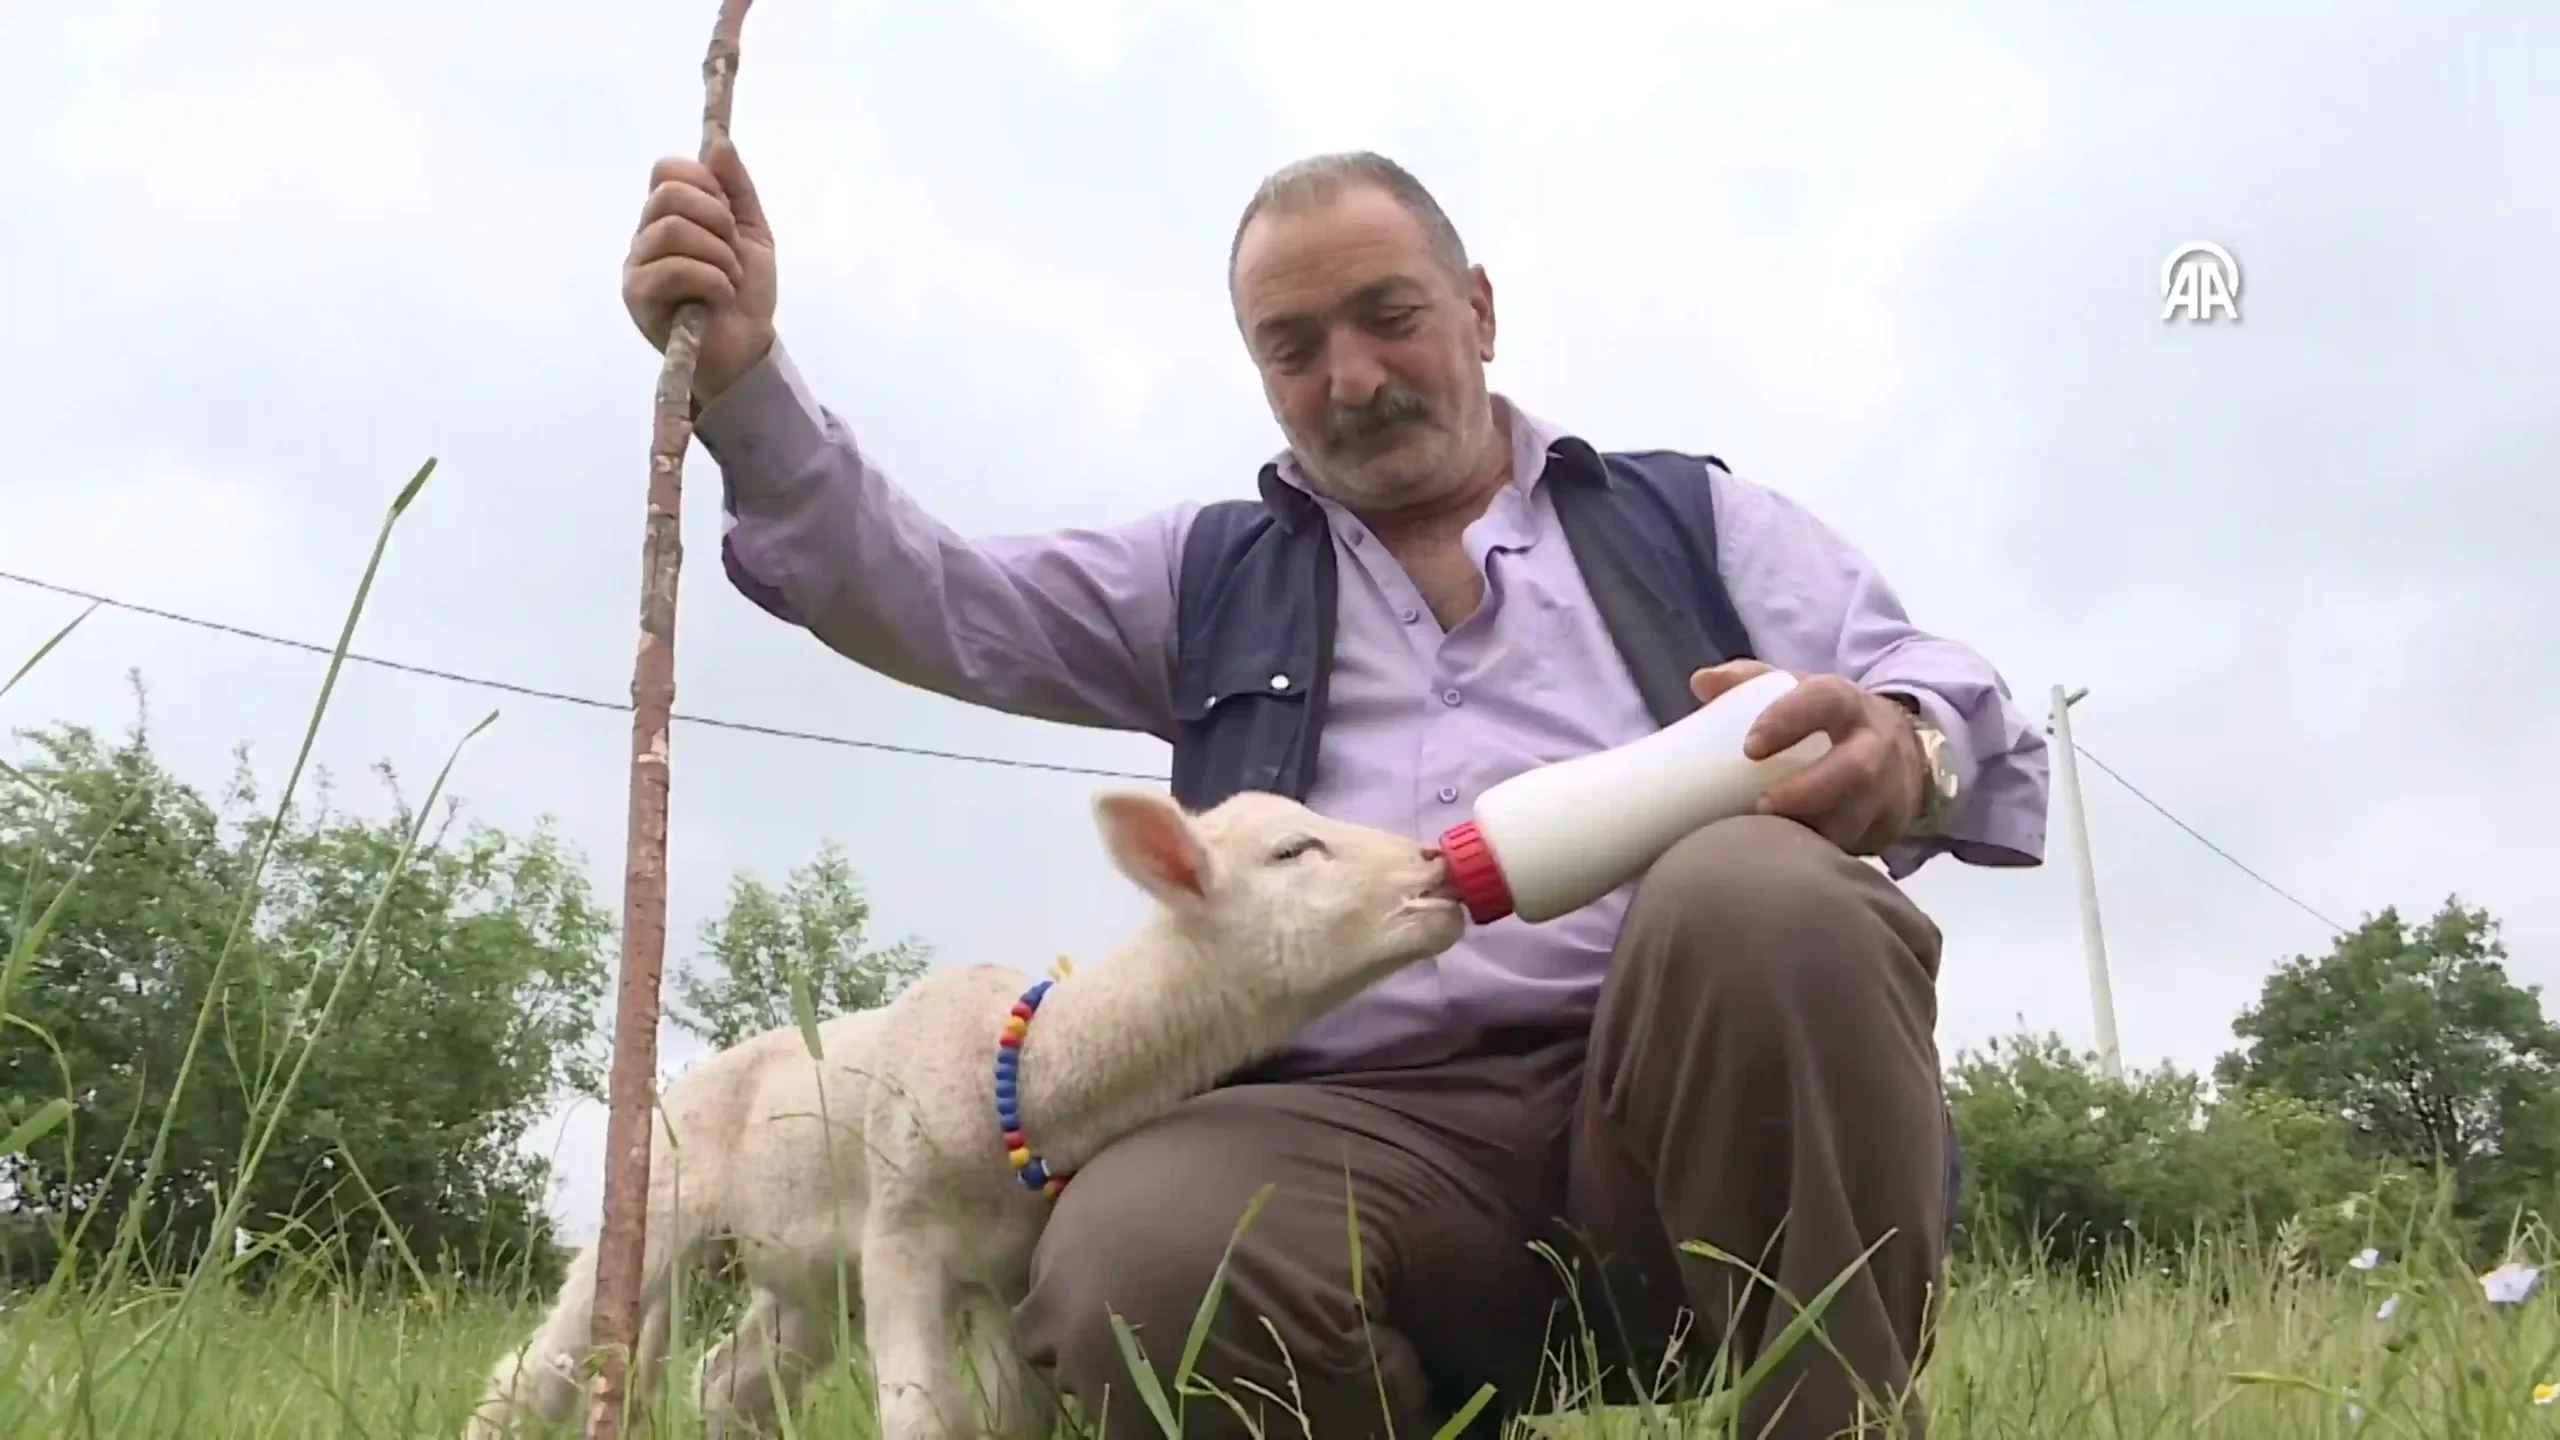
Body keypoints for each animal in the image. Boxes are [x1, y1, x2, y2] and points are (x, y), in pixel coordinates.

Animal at [458, 784, 1464, 1434]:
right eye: (1294, 851)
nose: (1436, 871)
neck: (1022, 1075)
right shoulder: (902, 1233)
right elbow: (926, 1416)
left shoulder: (1005, 1274)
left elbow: (1008, 1416)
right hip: (657, 1204)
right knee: (541, 1373)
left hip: (810, 1276)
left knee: (724, 1382)